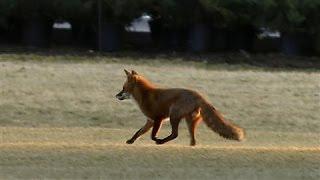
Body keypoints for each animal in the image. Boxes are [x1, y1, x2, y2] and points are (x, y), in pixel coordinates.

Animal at [116, 69, 244, 146]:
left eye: (123, 88)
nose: (116, 95)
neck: (145, 95)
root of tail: (199, 95)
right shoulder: (150, 121)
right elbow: (138, 132)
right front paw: (131, 141)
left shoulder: (158, 119)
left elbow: (152, 135)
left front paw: (157, 139)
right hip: (190, 121)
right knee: (193, 140)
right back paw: (191, 146)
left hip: (174, 115)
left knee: (175, 134)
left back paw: (162, 142)